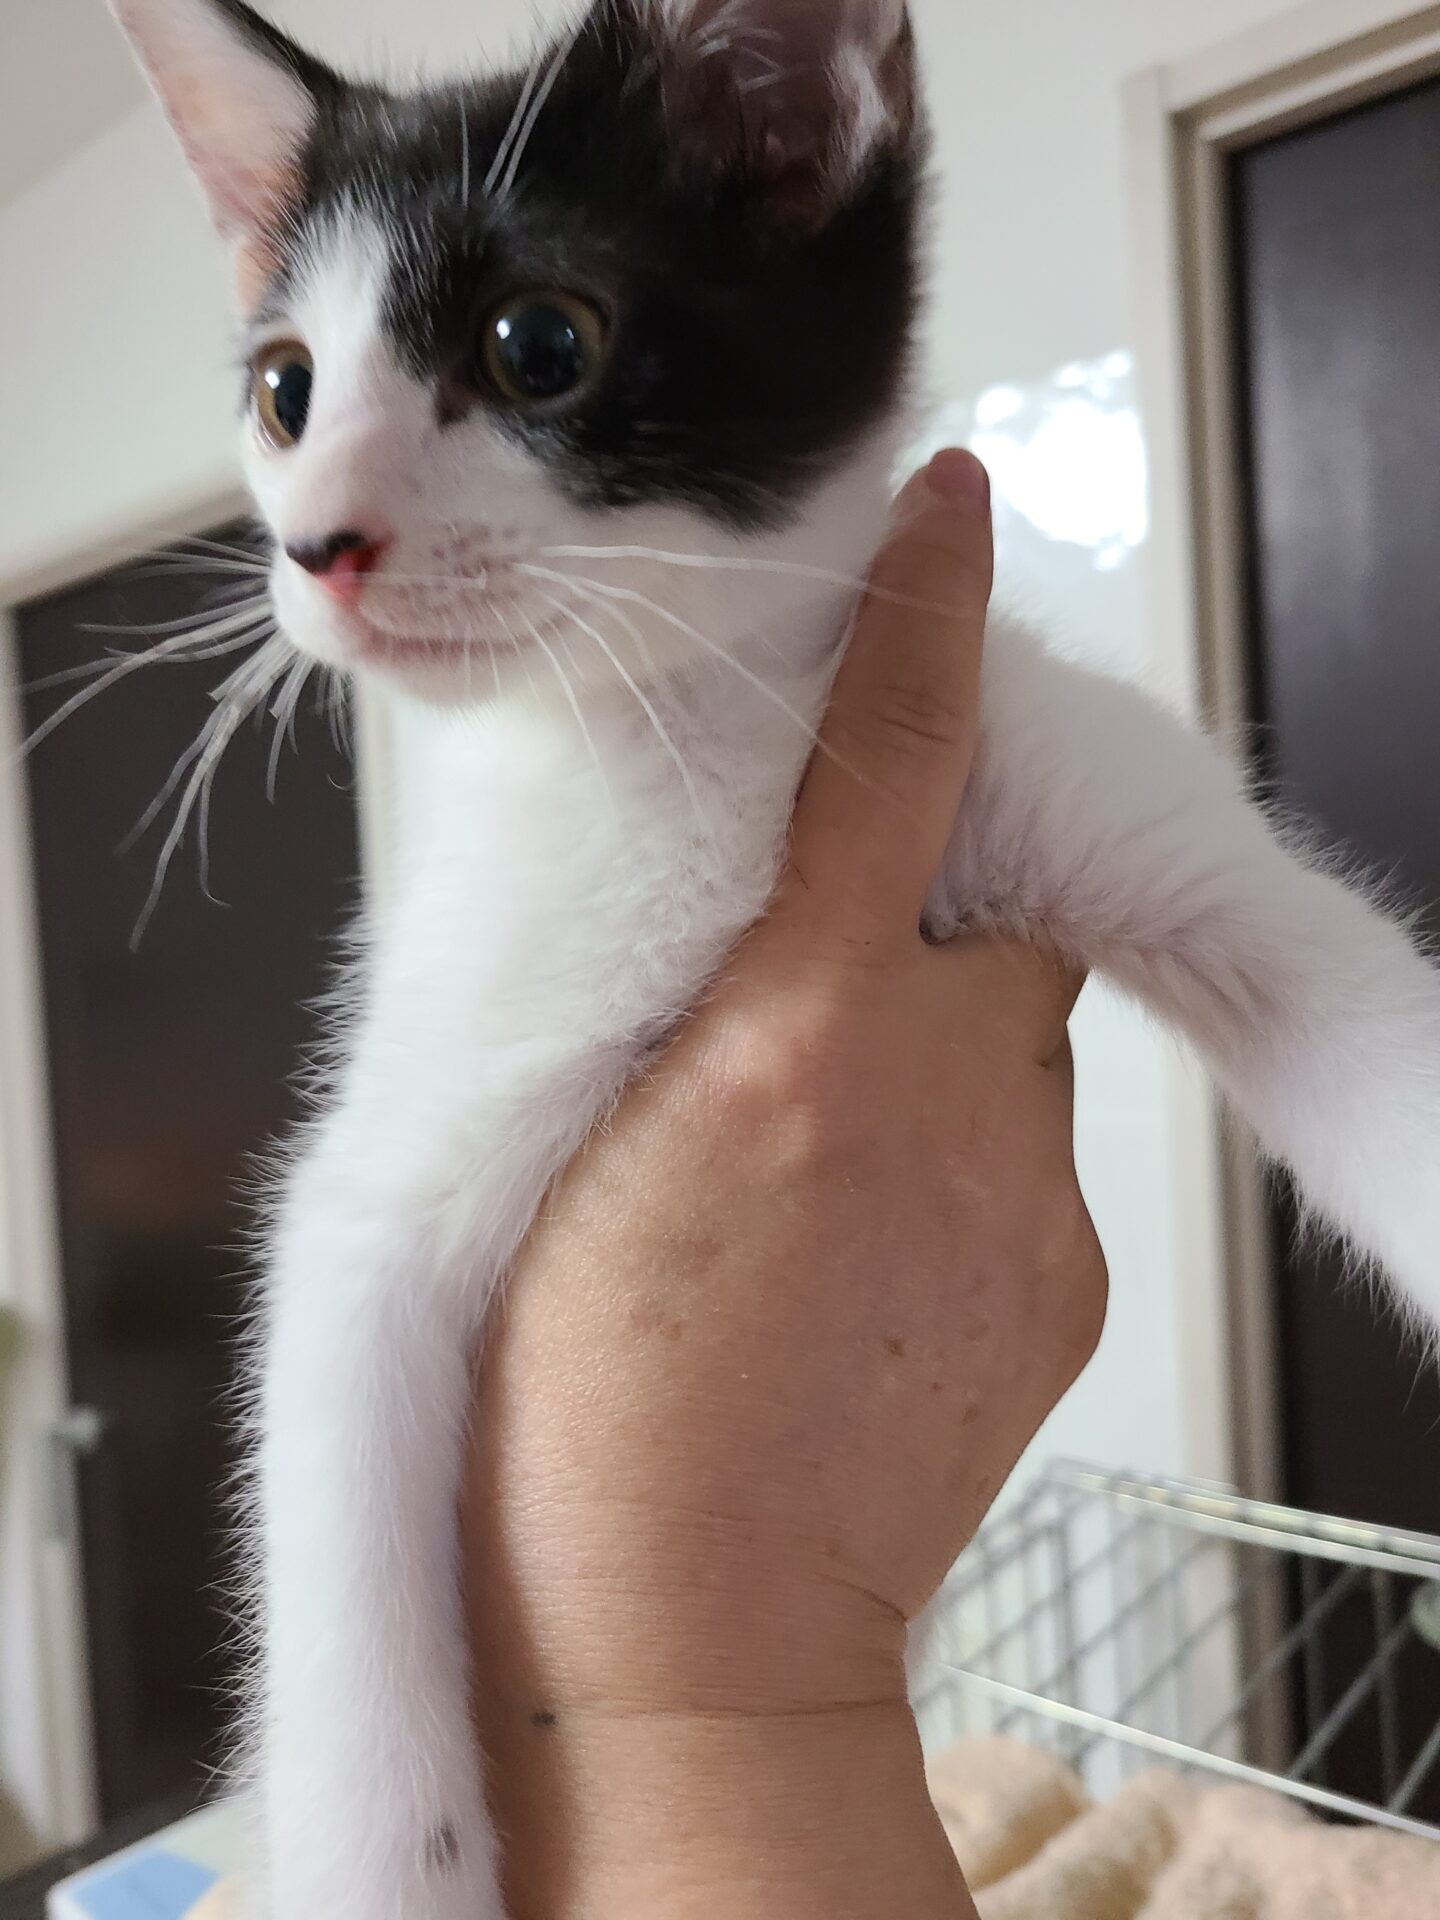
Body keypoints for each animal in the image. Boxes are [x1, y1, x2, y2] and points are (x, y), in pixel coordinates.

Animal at [107, 1, 1440, 1915]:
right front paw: (386, 1854)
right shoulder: (384, 1178)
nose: (319, 545)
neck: (697, 725)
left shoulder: (1075, 787)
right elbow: (346, 1549)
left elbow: (1358, 1032)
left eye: (540, 342)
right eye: (286, 388)